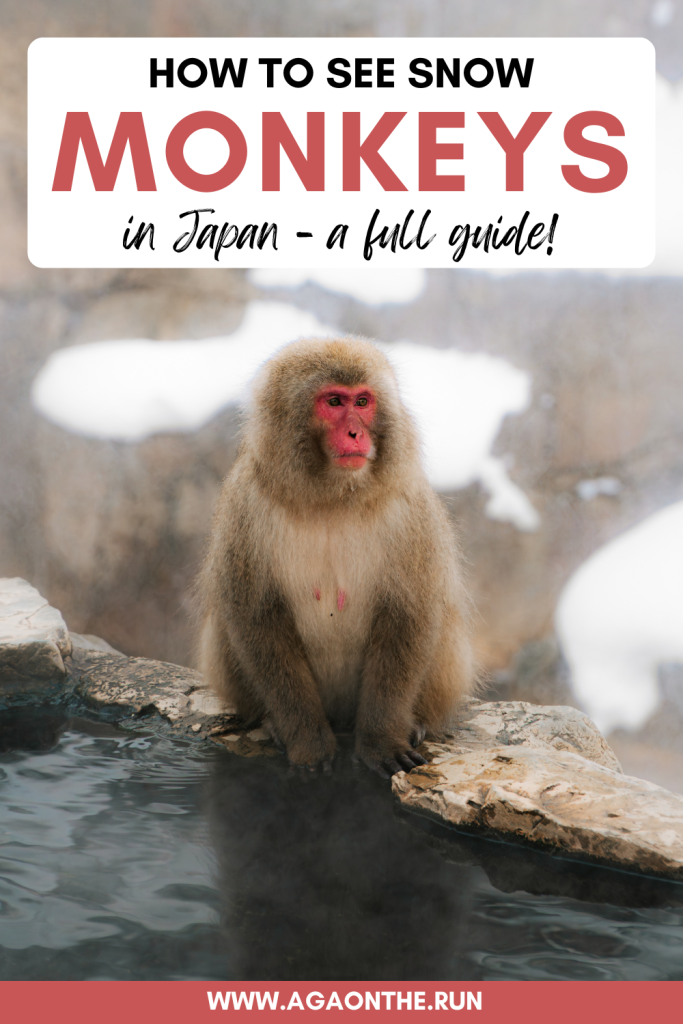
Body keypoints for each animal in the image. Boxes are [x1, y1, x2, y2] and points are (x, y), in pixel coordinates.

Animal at [196, 336, 475, 777]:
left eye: (362, 401)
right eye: (333, 401)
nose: (355, 432)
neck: (333, 497)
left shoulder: (410, 508)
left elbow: (408, 614)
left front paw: (381, 742)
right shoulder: (246, 505)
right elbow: (256, 617)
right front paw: (307, 743)